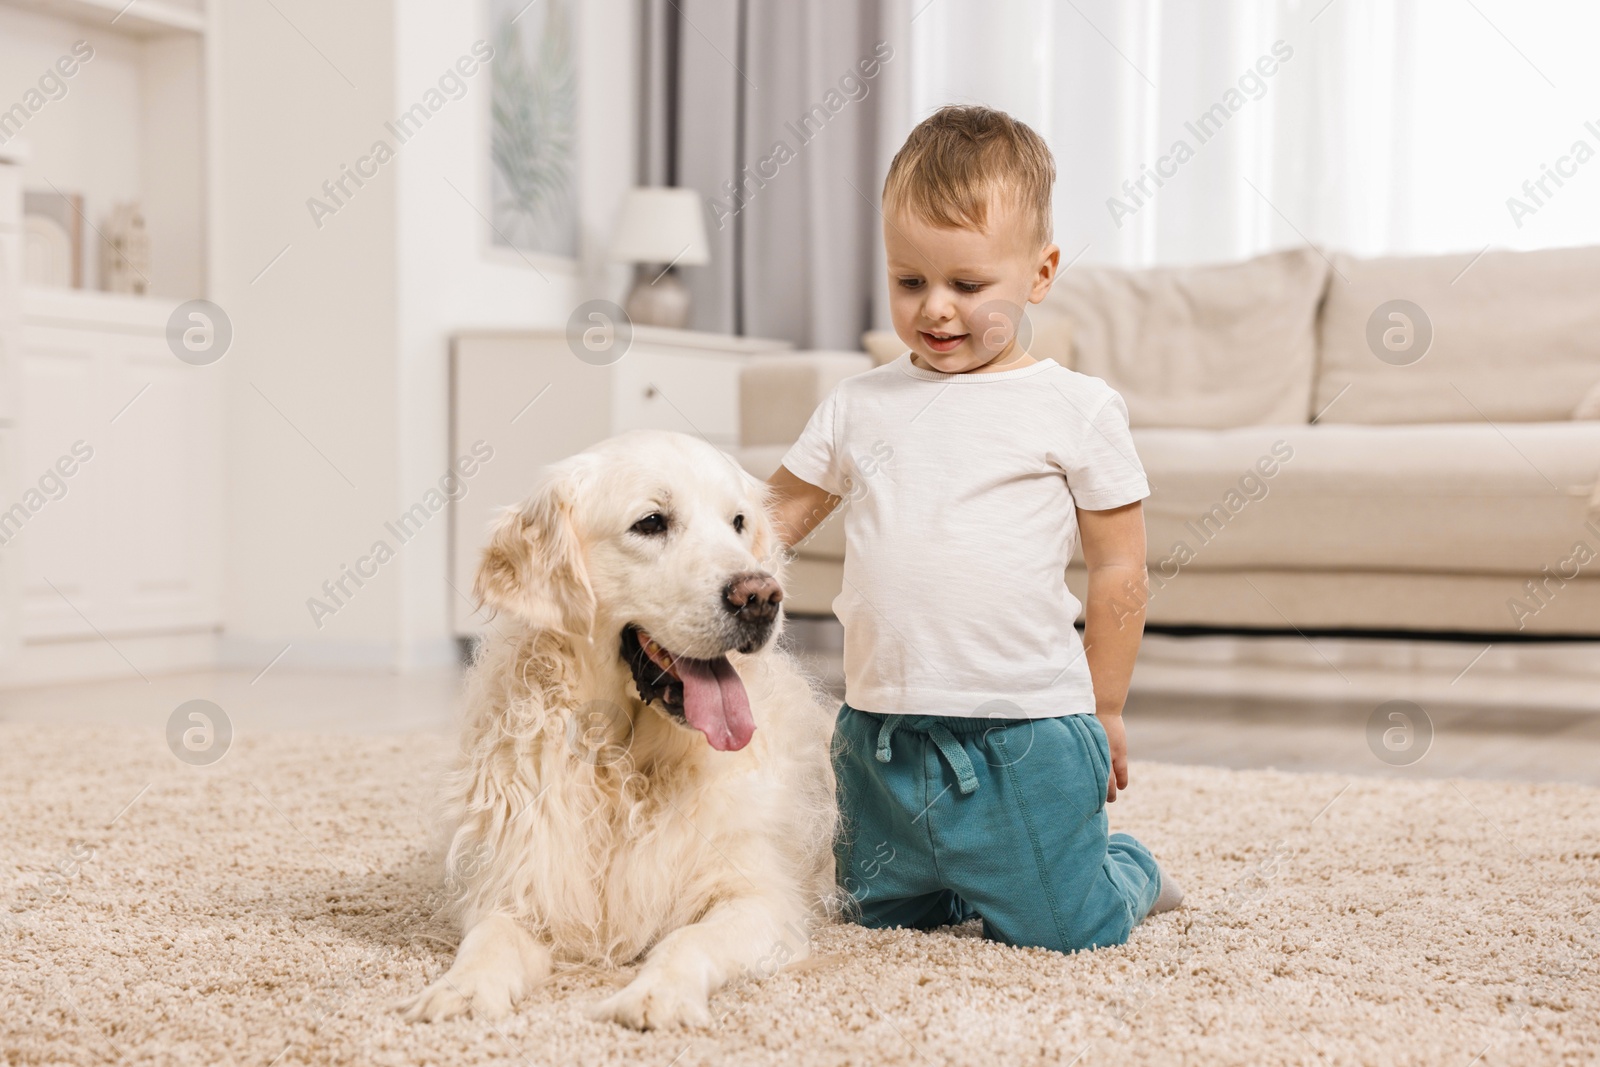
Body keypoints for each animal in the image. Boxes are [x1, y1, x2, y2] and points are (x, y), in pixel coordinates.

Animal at [395, 428, 844, 1030]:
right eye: (651, 522)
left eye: (738, 522)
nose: (761, 597)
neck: (622, 763)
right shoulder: (520, 886)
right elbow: (488, 941)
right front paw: (460, 991)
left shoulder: (760, 898)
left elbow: (688, 940)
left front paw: (656, 995)